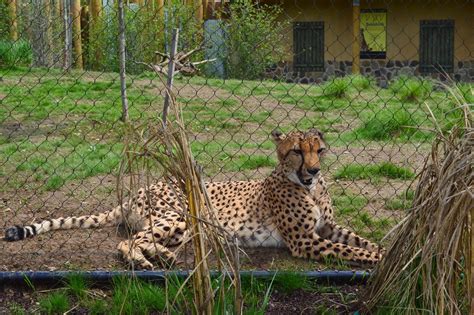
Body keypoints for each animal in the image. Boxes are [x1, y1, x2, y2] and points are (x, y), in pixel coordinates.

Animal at [3, 128, 384, 270]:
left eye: (319, 150)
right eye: (296, 151)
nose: (315, 170)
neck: (308, 188)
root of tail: (138, 190)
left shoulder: (328, 227)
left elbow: (364, 241)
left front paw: (388, 251)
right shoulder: (304, 240)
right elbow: (353, 251)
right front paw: (378, 261)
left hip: (186, 226)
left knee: (144, 239)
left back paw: (165, 256)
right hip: (180, 214)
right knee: (127, 242)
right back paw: (145, 262)